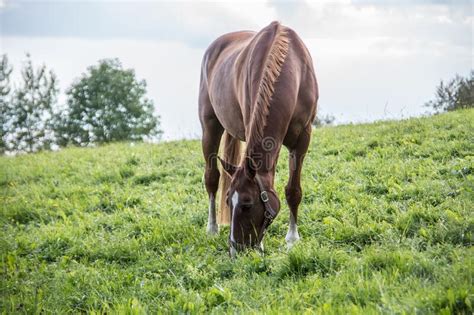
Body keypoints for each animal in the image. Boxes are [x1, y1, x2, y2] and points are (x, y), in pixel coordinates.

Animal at [198, 20, 316, 256]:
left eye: (247, 204)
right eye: (228, 201)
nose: (236, 250)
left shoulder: (302, 140)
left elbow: (293, 190)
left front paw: (292, 239)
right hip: (210, 128)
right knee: (212, 178)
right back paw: (212, 228)